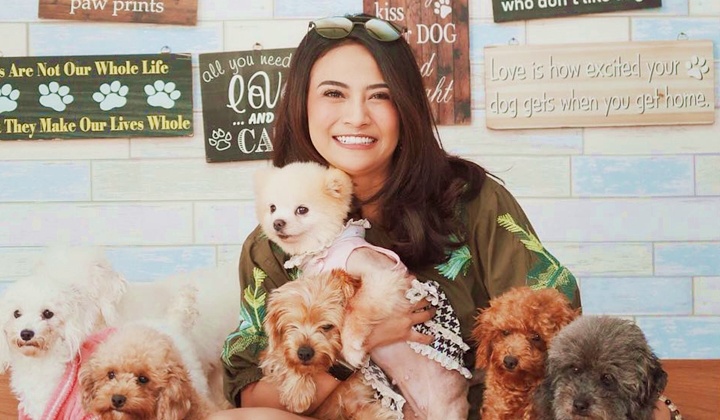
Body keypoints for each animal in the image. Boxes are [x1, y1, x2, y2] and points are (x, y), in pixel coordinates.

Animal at [260, 269, 395, 419]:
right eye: (291, 325)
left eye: (327, 326)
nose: (304, 353)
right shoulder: (270, 355)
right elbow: (281, 358)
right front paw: (298, 390)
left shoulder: (355, 401)